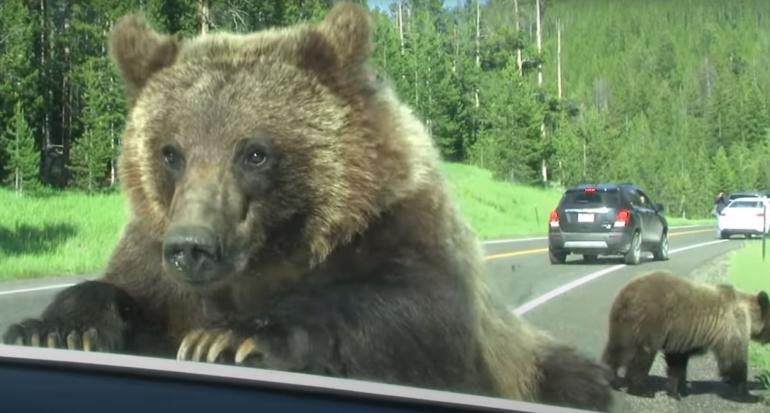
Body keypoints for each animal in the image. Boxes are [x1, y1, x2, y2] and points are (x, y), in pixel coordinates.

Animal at [3, 2, 608, 408]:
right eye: (170, 151)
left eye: (254, 152)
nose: (192, 247)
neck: (275, 250)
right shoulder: (156, 255)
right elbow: (128, 291)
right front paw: (54, 330)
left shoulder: (399, 225)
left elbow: (418, 310)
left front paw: (231, 337)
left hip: (532, 362)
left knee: (573, 376)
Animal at [600, 268, 768, 398]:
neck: (749, 312)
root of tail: (627, 294)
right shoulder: (732, 324)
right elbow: (734, 357)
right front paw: (745, 390)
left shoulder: (681, 338)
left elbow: (677, 362)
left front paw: (678, 390)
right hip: (649, 320)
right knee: (641, 355)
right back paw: (642, 390)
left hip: (621, 323)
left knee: (617, 349)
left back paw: (612, 378)